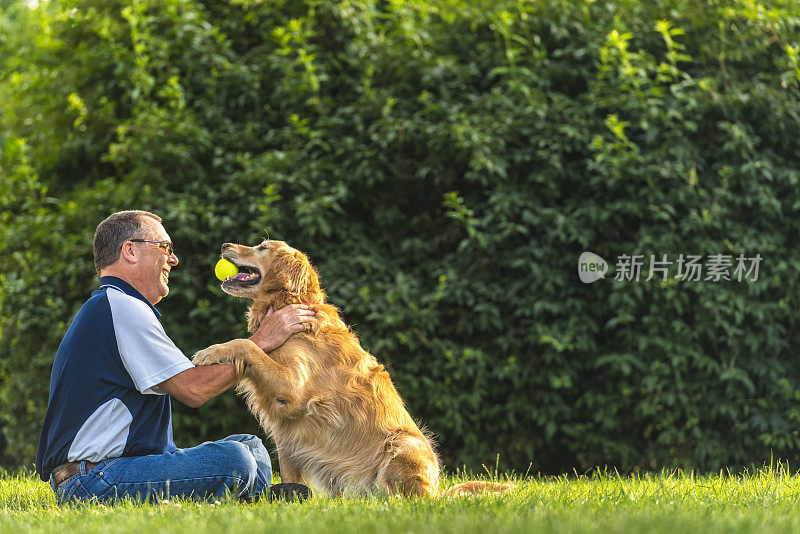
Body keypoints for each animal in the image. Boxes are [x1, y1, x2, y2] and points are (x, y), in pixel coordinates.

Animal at [195, 241, 512, 500]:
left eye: (261, 247)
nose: (224, 245)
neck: (290, 305)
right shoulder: (287, 433)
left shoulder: (293, 387)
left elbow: (247, 345)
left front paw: (209, 351)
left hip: (401, 444)